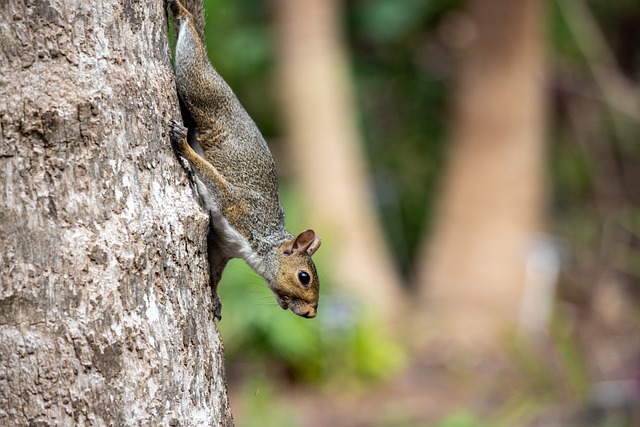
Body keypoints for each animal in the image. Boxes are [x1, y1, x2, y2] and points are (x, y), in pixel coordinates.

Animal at [168, 0, 322, 320]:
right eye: (304, 277)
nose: (311, 314)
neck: (260, 241)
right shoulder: (237, 205)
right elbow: (212, 178)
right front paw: (183, 146)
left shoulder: (221, 247)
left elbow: (214, 273)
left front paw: (214, 298)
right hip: (200, 88)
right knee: (192, 53)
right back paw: (182, 13)